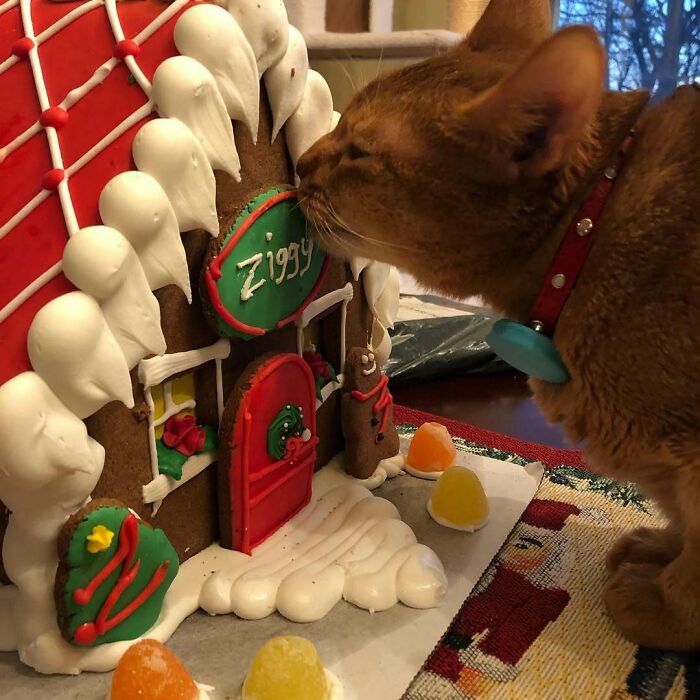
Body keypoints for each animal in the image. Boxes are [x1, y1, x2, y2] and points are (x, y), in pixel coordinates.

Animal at [298, 0, 700, 652]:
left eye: (358, 152)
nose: (302, 159)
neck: (586, 238)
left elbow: (699, 549)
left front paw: (665, 606)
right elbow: (685, 525)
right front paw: (658, 550)